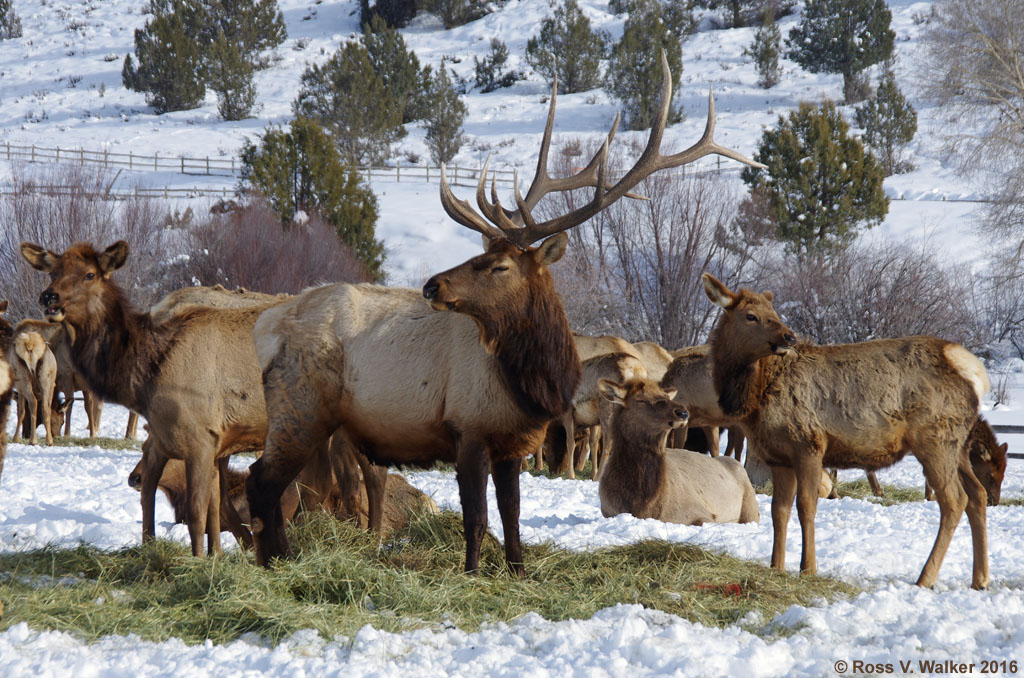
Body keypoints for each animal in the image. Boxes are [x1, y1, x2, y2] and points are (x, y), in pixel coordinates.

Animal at [597, 377, 759, 525]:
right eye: (640, 400)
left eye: (666, 396)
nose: (682, 412)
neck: (644, 505)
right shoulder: (609, 511)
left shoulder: (702, 512)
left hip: (751, 506)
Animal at [701, 273, 991, 589]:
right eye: (750, 316)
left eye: (773, 313)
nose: (789, 337)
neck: (755, 398)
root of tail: (975, 373)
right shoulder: (778, 456)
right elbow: (779, 511)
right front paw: (776, 567)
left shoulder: (809, 444)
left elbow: (806, 506)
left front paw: (808, 568)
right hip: (958, 445)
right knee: (978, 495)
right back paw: (980, 579)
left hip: (935, 439)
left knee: (954, 500)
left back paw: (926, 578)